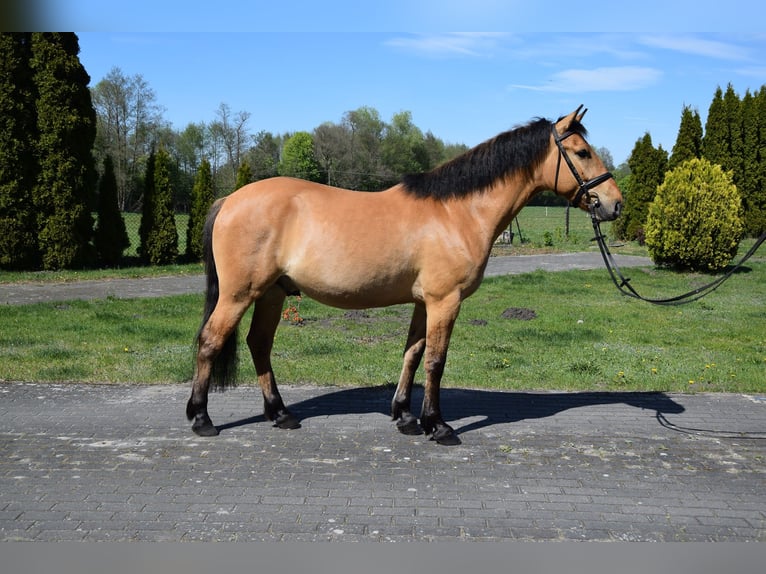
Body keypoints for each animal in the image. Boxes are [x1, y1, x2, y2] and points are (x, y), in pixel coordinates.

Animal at [186, 106, 623, 445]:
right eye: (582, 151)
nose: (615, 204)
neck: (456, 212)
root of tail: (230, 199)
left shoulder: (423, 302)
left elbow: (412, 354)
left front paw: (406, 417)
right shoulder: (445, 301)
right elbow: (435, 361)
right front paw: (439, 425)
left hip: (272, 293)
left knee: (258, 345)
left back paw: (280, 414)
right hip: (240, 294)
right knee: (210, 341)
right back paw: (202, 419)